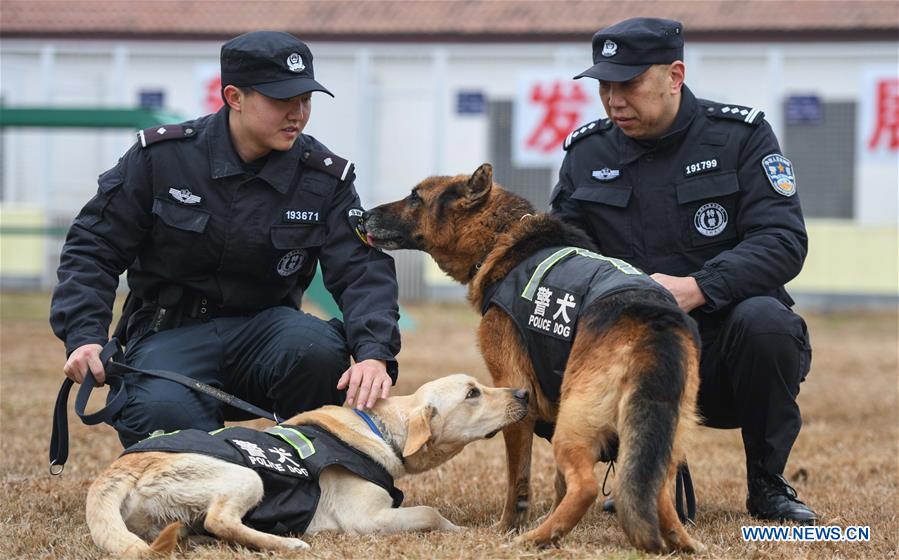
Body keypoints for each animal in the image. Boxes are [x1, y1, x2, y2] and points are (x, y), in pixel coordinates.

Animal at [86, 372, 528, 556]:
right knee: (220, 520)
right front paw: (459, 529)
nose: (524, 392)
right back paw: (287, 544)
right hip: (247, 475)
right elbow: (430, 513)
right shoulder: (367, 519)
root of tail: (119, 469)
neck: (382, 428)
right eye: (472, 393)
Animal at [364, 164, 704, 552]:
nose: (362, 216)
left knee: (586, 486)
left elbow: (519, 481)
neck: (501, 237)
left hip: (576, 422)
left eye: (415, 197)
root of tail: (650, 316)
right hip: (658, 435)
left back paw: (537, 537)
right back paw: (680, 543)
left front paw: (508, 527)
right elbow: (557, 482)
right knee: (657, 489)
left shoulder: (516, 396)